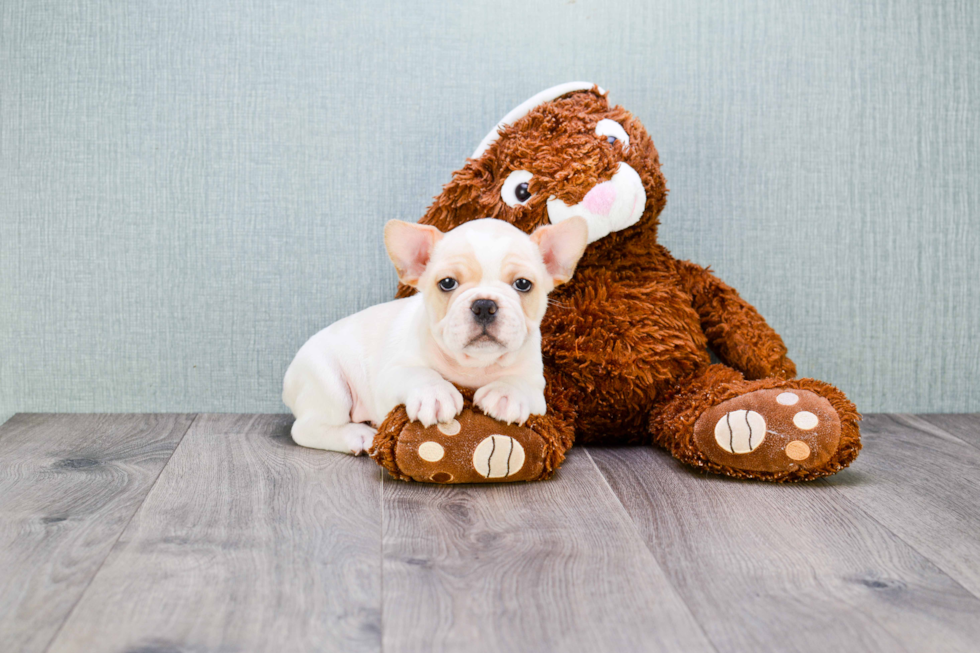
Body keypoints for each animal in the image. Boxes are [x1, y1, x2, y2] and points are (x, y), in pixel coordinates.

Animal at [280, 216, 584, 450]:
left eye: (523, 284)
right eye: (447, 283)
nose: (484, 305)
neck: (474, 365)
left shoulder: (536, 385)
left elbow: (519, 384)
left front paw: (506, 394)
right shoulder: (391, 375)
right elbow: (419, 373)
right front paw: (434, 393)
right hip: (328, 384)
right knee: (306, 428)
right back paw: (358, 435)